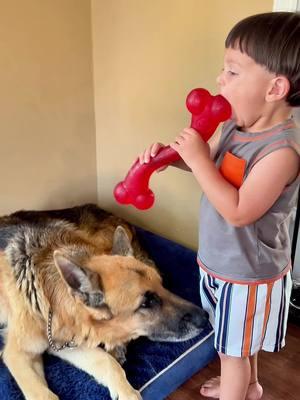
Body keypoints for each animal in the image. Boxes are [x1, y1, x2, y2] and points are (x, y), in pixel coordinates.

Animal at [0, 205, 207, 398]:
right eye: (146, 303)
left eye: (162, 286)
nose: (206, 318)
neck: (52, 301)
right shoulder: (19, 355)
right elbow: (43, 394)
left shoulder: (69, 341)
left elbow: (108, 362)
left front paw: (128, 393)